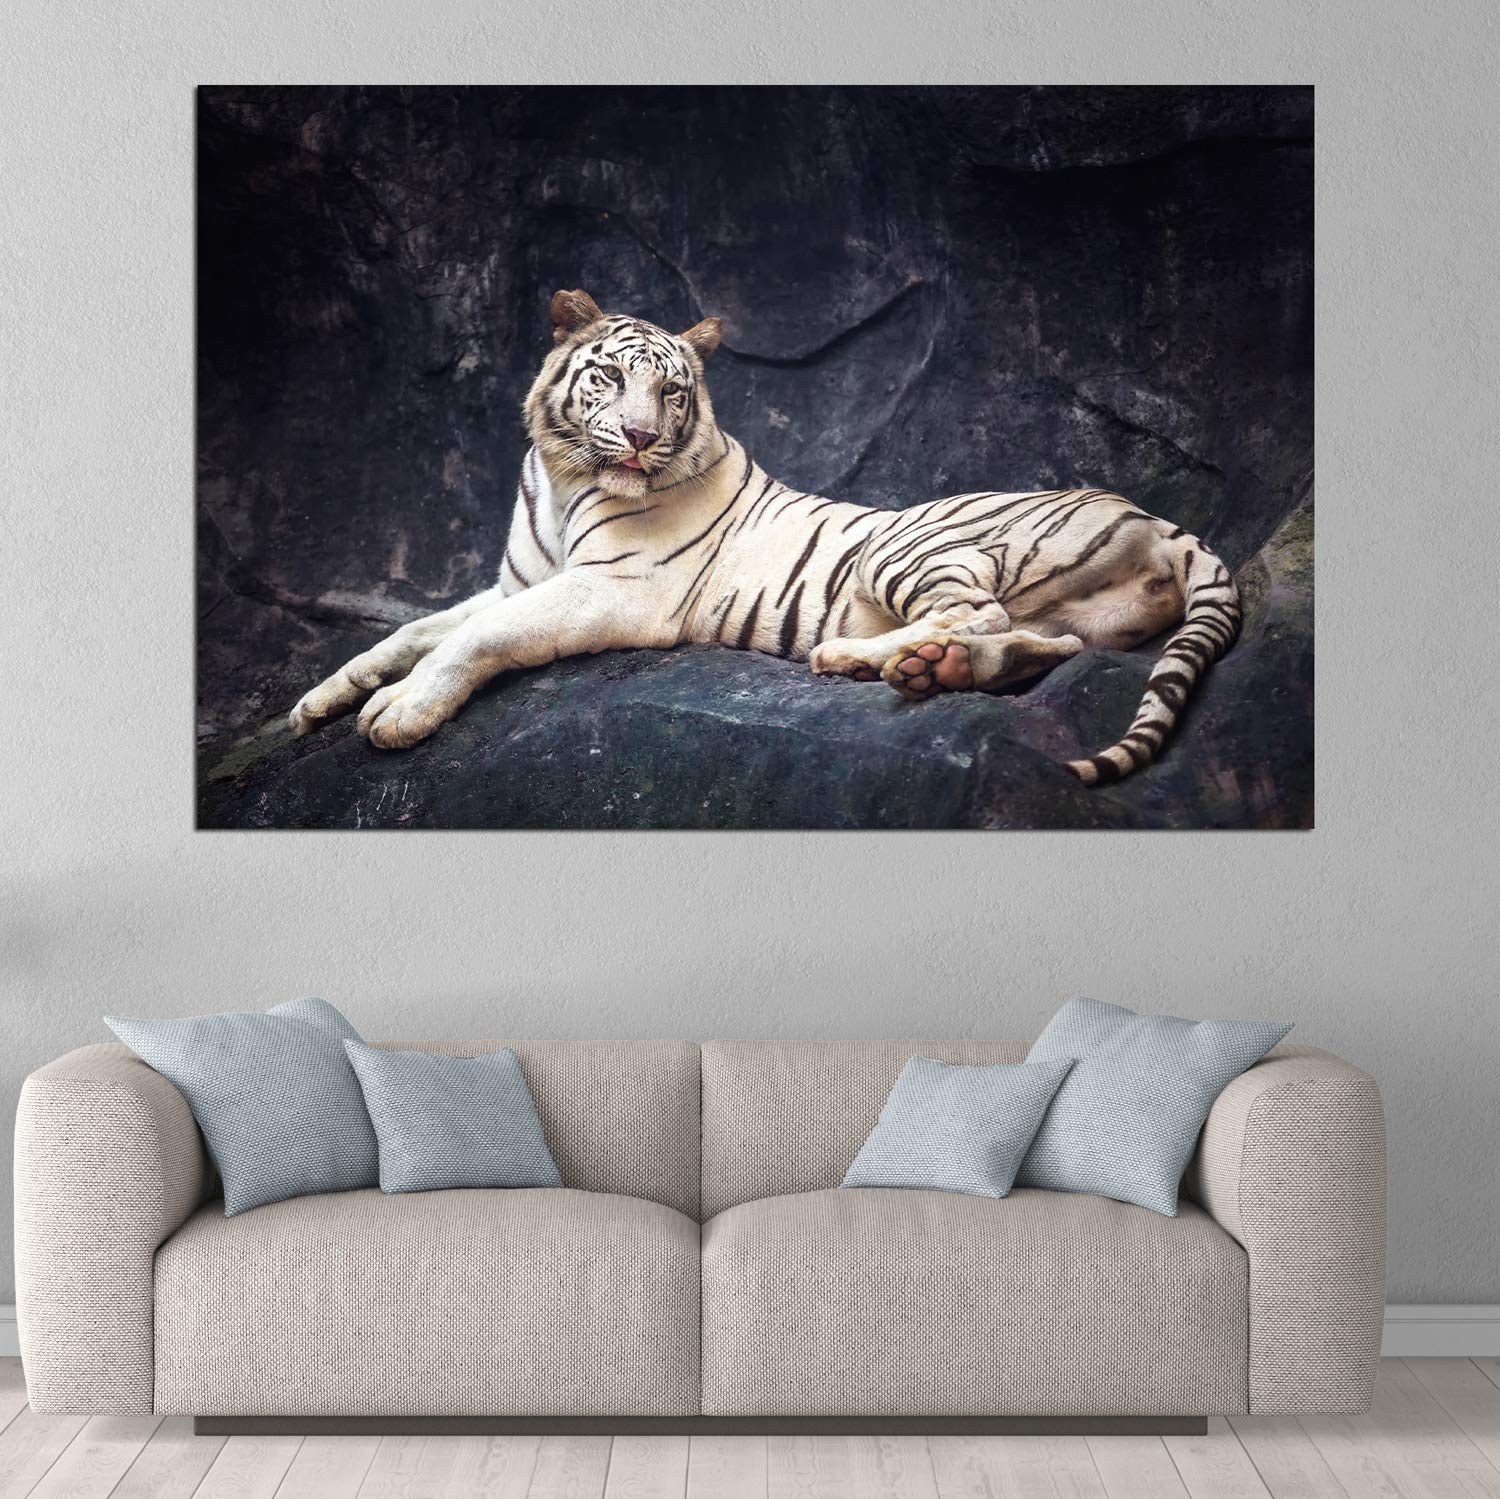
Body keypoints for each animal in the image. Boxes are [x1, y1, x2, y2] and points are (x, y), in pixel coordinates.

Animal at [288, 289, 1241, 786]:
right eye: (610, 378)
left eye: (672, 392)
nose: (641, 437)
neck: (563, 480)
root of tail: (1162, 521)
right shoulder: (517, 581)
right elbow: (413, 629)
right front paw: (320, 700)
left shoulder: (613, 589)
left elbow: (474, 638)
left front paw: (398, 712)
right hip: (1050, 611)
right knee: (1040, 643)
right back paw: (923, 670)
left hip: (907, 546)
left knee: (983, 616)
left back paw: (856, 659)